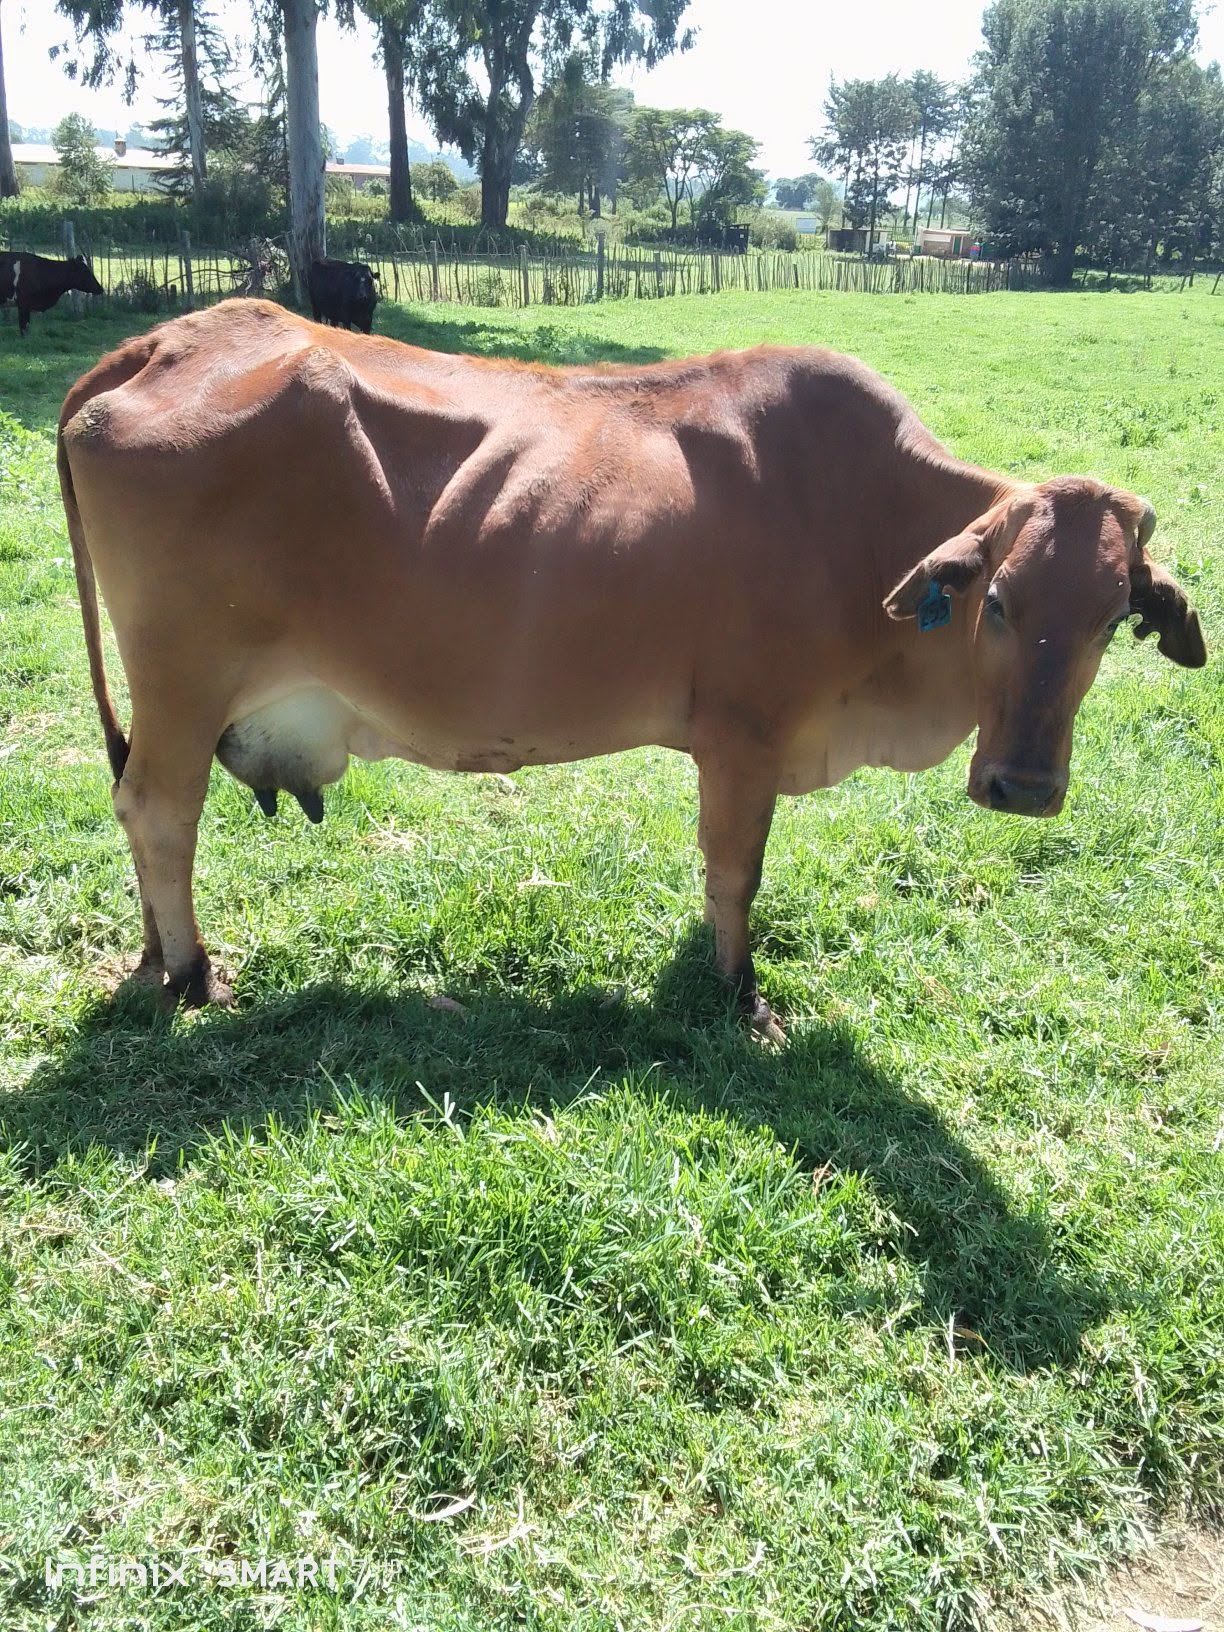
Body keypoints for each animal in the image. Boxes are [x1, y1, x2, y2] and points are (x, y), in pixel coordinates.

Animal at [56, 299, 1206, 1036]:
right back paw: (193, 973)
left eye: (1113, 620)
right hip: (183, 679)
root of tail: (162, 340)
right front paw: (739, 995)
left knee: (137, 808)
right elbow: (736, 871)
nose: (1024, 786)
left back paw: (157, 954)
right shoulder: (743, 737)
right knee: (159, 809)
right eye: (998, 602)